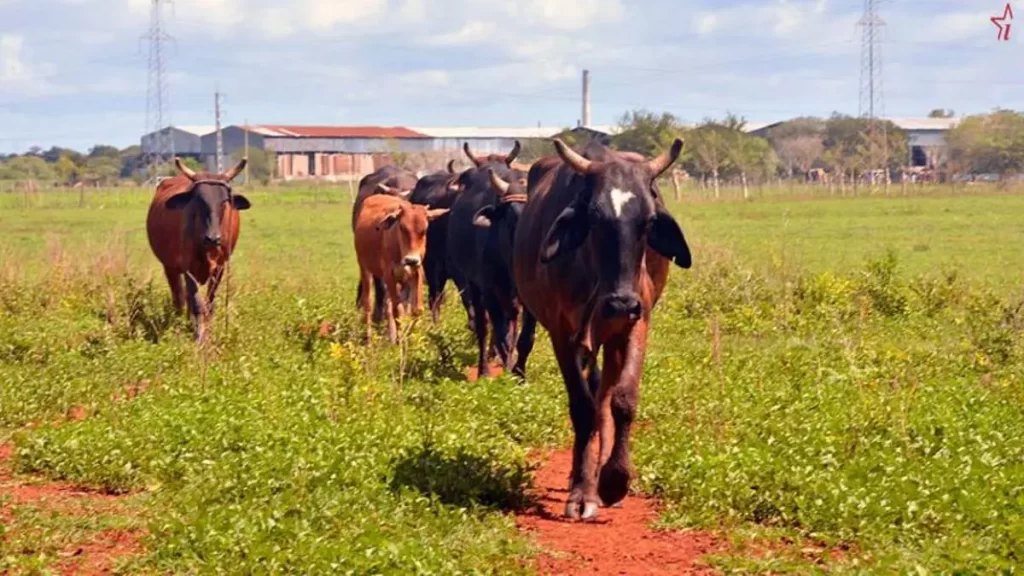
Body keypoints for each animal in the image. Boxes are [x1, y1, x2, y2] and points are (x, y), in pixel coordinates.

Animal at [146, 155, 251, 340]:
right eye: (199, 200)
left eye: (224, 201)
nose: (213, 238)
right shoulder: (188, 267)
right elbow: (195, 303)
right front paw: (198, 337)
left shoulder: (220, 268)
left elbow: (209, 303)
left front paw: (207, 333)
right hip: (170, 267)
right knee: (179, 298)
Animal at [354, 194, 446, 342]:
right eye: (402, 227)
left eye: (424, 230)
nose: (411, 260)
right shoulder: (389, 275)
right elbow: (397, 311)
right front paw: (400, 341)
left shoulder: (416, 273)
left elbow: (416, 309)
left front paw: (412, 338)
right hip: (365, 269)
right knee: (368, 303)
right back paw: (369, 339)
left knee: (389, 304)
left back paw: (391, 337)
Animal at [516, 138, 692, 516]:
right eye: (594, 218)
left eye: (648, 220)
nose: (620, 303)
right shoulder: (561, 334)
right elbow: (582, 406)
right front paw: (582, 491)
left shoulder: (636, 321)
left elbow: (622, 399)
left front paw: (613, 480)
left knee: (605, 394)